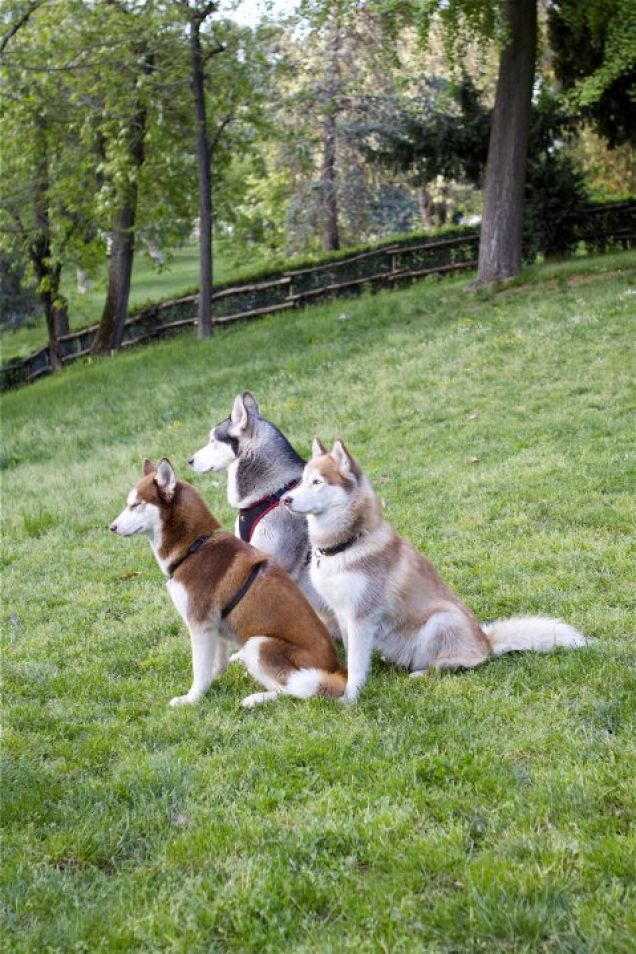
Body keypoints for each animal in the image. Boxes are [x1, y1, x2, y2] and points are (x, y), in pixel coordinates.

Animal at [111, 458, 346, 712]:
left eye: (136, 505)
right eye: (129, 504)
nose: (111, 527)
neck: (194, 547)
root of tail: (336, 669)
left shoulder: (200, 625)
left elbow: (199, 671)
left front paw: (191, 699)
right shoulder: (215, 627)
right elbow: (216, 663)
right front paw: (217, 676)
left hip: (259, 644)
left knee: (293, 690)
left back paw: (256, 699)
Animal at [284, 438, 588, 700]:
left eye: (317, 481)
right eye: (301, 481)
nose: (286, 499)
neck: (346, 545)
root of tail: (486, 641)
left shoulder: (361, 617)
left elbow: (357, 665)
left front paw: (350, 698)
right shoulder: (342, 614)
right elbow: (352, 657)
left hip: (440, 620)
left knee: (465, 663)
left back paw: (425, 672)